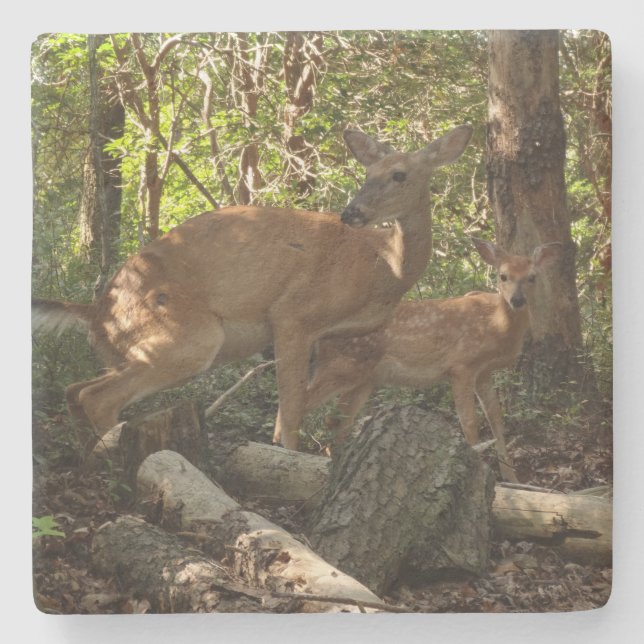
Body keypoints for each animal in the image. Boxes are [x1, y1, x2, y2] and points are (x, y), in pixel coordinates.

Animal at [31, 124, 473, 457]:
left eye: (399, 174)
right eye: (368, 174)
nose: (352, 212)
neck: (385, 265)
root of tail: (96, 311)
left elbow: (296, 407)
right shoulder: (294, 312)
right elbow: (292, 406)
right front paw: (292, 459)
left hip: (127, 350)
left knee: (75, 389)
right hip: (190, 335)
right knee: (97, 397)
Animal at [303, 238, 562, 482]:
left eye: (532, 277)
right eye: (503, 276)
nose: (517, 300)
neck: (496, 324)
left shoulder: (484, 372)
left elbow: (496, 420)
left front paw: (512, 478)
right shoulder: (461, 365)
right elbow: (469, 421)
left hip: (363, 380)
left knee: (336, 421)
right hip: (341, 366)